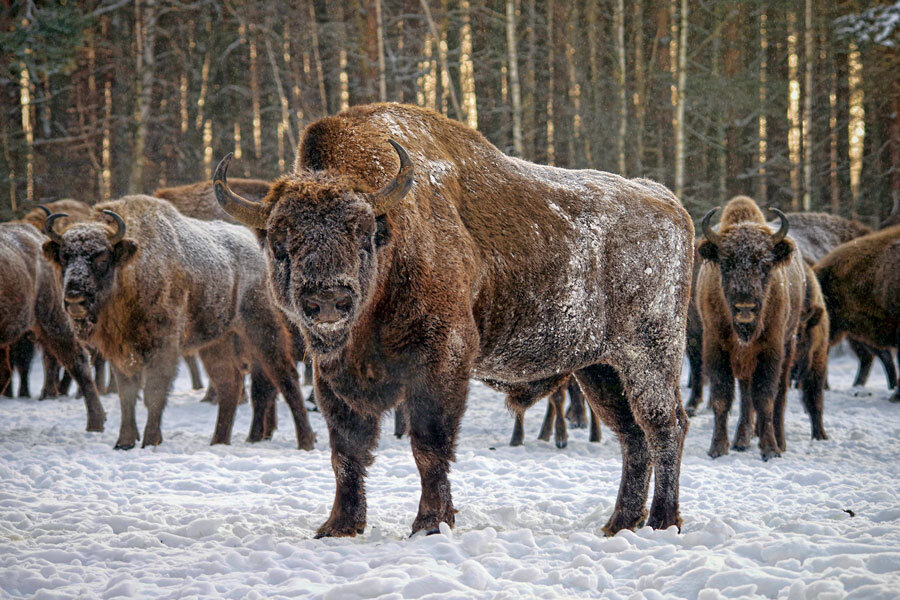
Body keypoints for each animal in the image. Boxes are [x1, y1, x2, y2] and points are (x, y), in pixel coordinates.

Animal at [42, 197, 316, 450]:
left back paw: (305, 441)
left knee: (285, 378)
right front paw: (124, 442)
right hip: (217, 342)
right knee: (230, 383)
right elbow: (126, 396)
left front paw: (150, 441)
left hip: (261, 330)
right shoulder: (121, 352)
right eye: (64, 257)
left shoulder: (163, 348)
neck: (133, 268)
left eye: (101, 258)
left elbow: (153, 393)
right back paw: (218, 441)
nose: (75, 299)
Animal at [214, 103, 692, 540]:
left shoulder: (442, 359)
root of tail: (669, 203)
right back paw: (620, 524)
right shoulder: (332, 374)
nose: (329, 300)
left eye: (362, 232)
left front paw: (429, 524)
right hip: (601, 368)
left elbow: (429, 445)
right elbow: (346, 452)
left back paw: (662, 522)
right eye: (280, 241)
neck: (395, 241)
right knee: (632, 436)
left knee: (664, 428)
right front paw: (339, 527)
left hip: (649, 356)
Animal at [696, 196, 808, 460]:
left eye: (765, 265)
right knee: (746, 396)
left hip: (789, 345)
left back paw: (779, 440)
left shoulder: (771, 349)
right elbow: (722, 397)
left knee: (779, 396)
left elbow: (765, 398)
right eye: (726, 264)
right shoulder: (716, 347)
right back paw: (742, 439)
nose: (745, 307)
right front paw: (718, 448)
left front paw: (770, 449)